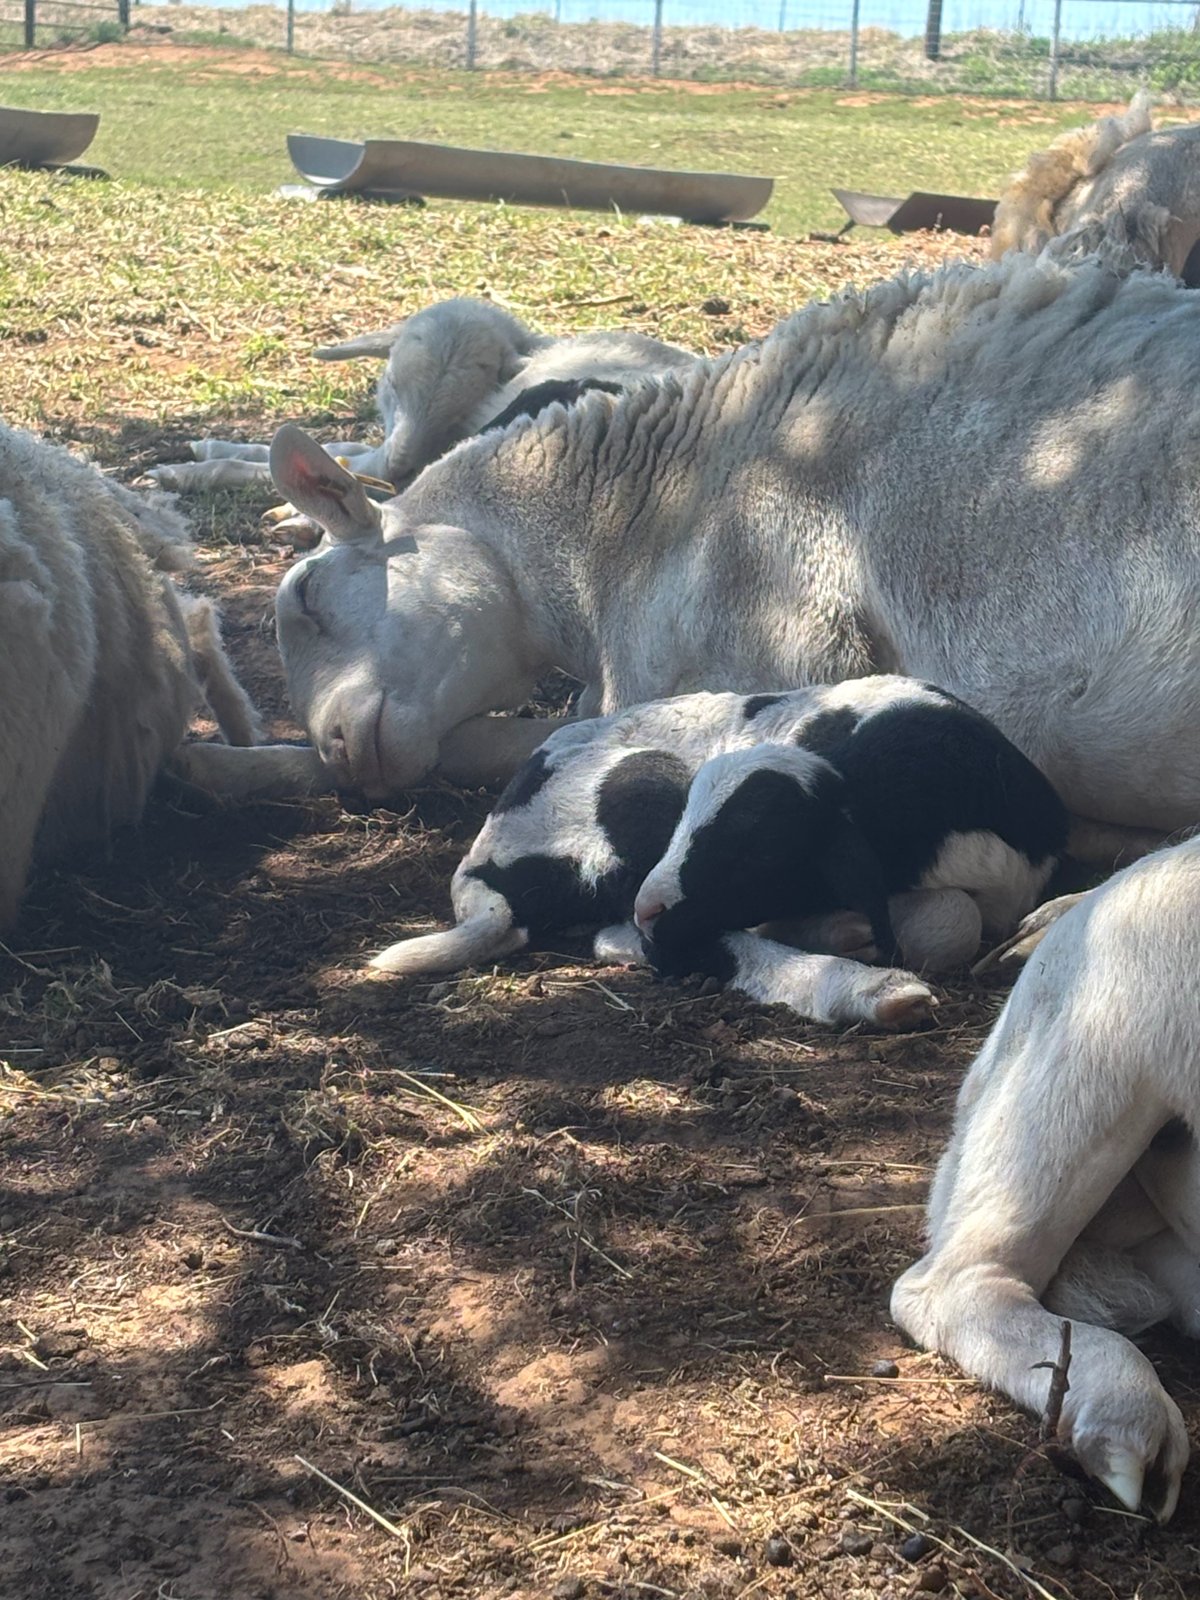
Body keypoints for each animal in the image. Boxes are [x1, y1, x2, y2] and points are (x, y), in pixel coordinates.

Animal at [149, 296, 694, 497]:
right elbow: (329, 449)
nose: (399, 467)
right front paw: (207, 445)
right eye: (389, 385)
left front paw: (182, 473)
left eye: (458, 403)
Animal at [367, 677, 1065, 1030]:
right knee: (663, 945)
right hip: (637, 791)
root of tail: (483, 864)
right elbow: (952, 920)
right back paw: (869, 987)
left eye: (757, 846)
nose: (651, 906)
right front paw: (851, 940)